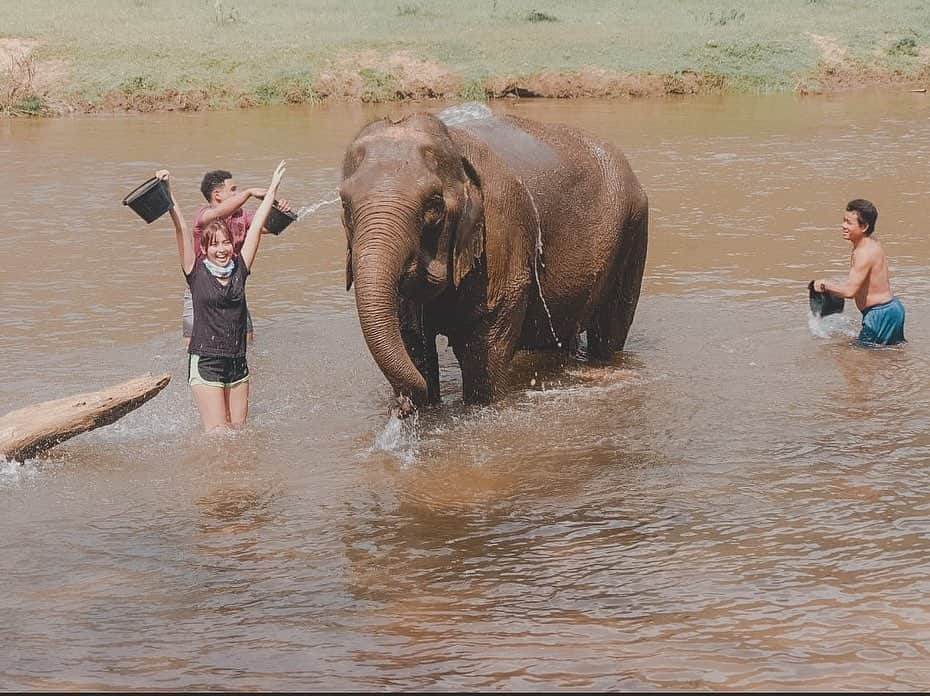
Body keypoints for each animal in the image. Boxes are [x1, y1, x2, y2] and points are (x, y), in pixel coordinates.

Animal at [338, 104, 648, 414]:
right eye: (344, 203)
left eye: (434, 203)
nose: (402, 407)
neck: (454, 143)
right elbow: (411, 337)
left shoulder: (501, 233)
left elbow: (482, 346)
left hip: (633, 231)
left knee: (610, 331)